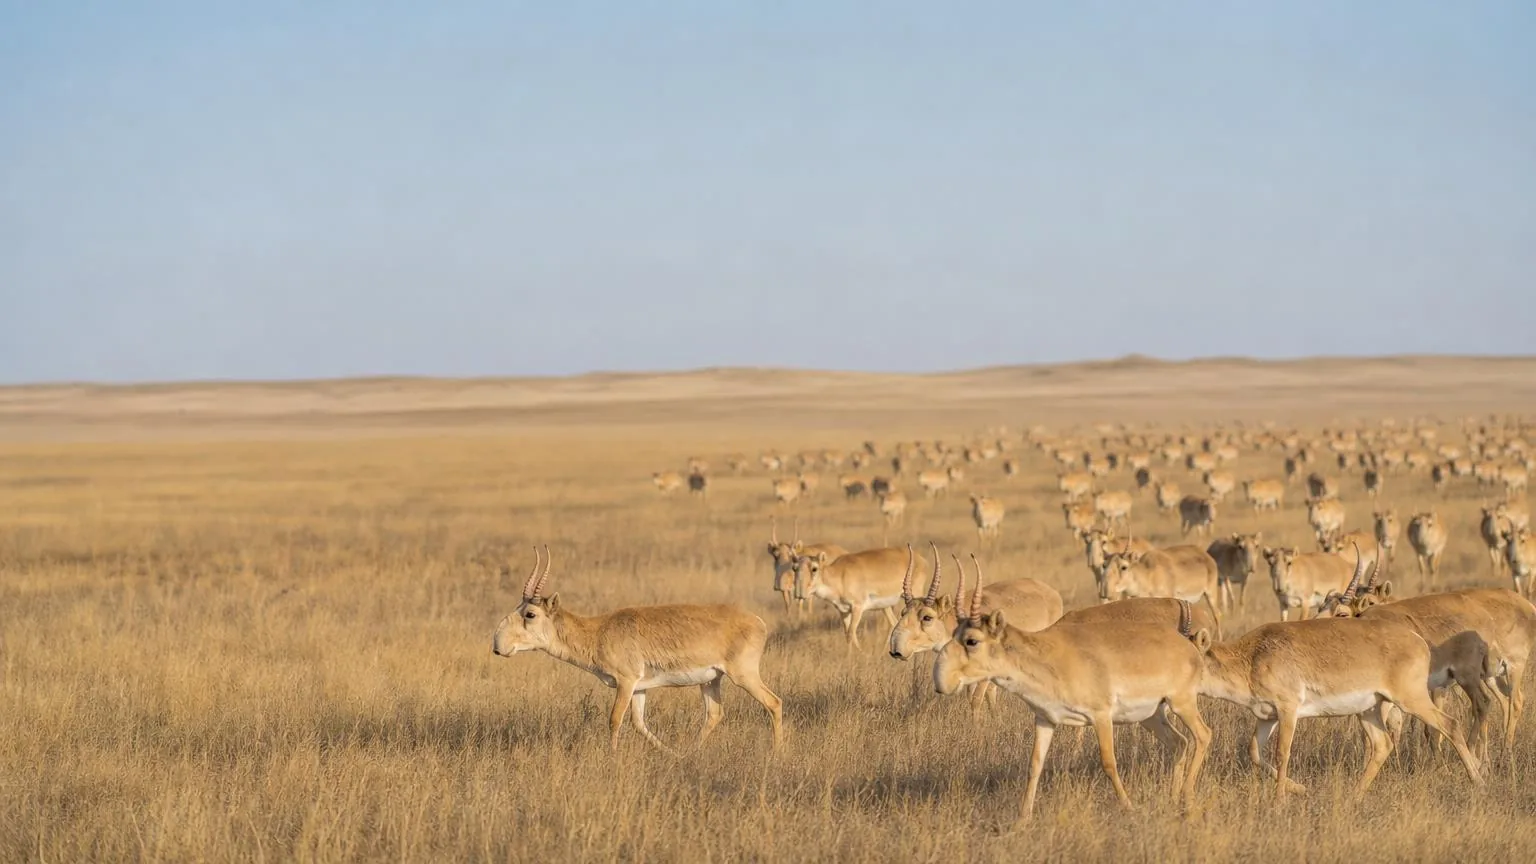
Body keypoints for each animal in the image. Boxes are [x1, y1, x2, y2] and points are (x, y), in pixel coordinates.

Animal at [492, 548, 784, 750]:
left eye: (530, 614)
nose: (497, 645)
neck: (598, 631)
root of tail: (758, 622)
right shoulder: (640, 687)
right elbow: (639, 723)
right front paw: (670, 753)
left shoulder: (626, 681)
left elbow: (615, 720)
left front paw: (612, 757)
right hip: (711, 680)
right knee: (714, 714)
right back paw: (689, 753)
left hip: (743, 675)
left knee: (774, 702)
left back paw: (776, 754)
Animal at [794, 546, 924, 648]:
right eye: (795, 568)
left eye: (814, 568)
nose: (799, 593)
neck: (839, 575)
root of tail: (922, 559)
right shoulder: (843, 611)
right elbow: (847, 634)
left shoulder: (857, 608)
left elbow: (851, 633)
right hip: (885, 607)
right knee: (893, 623)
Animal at [934, 555, 1212, 819]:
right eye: (954, 633)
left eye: (972, 640)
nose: (940, 680)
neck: (1047, 657)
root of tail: (1189, 646)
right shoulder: (1045, 719)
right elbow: (1035, 764)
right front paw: (1023, 818)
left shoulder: (1101, 716)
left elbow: (1108, 762)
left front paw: (1129, 808)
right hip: (1152, 716)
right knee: (1180, 743)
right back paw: (1173, 799)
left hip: (1182, 703)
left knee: (1202, 735)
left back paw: (1187, 799)